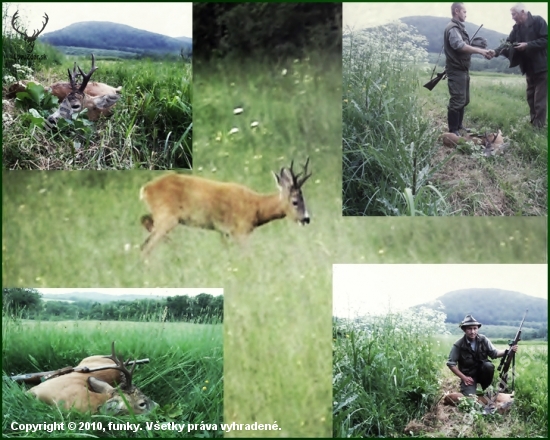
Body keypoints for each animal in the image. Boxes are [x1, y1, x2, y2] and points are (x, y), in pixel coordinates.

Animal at [141, 158, 314, 254]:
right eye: (295, 201)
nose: (306, 219)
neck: (257, 207)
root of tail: (146, 189)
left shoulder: (224, 232)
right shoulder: (240, 230)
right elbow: (247, 255)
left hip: (160, 214)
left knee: (144, 223)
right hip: (167, 216)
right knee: (146, 247)